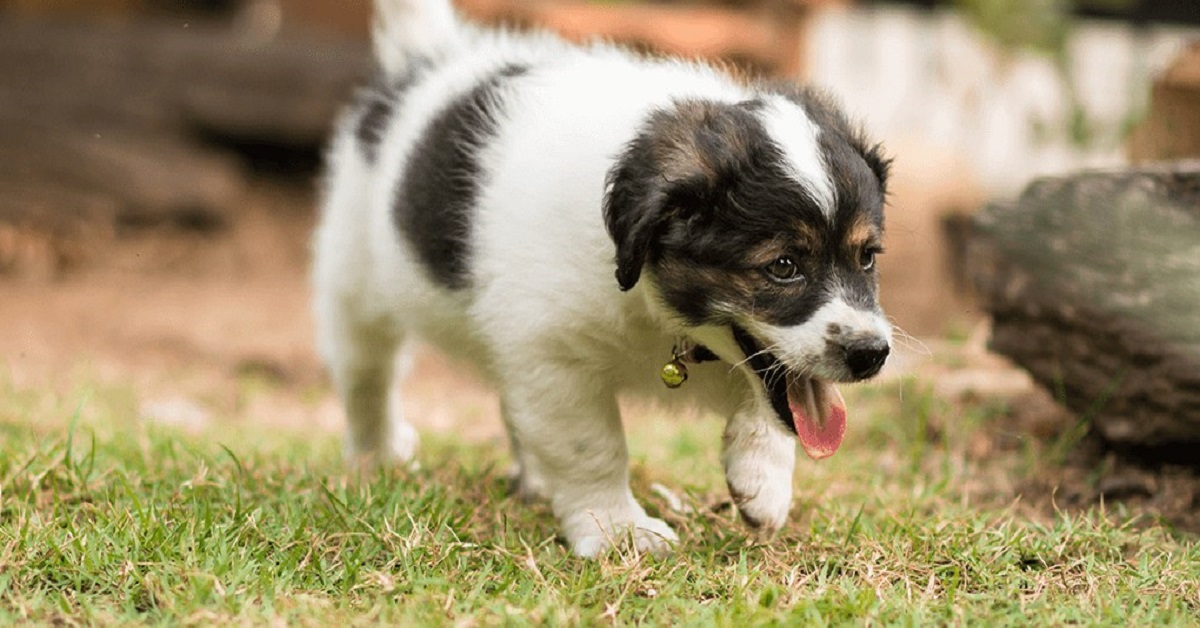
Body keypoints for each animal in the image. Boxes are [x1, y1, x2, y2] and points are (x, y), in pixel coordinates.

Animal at [314, 1, 897, 559]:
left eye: (867, 257)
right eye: (783, 267)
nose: (872, 354)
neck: (650, 300)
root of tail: (429, 58)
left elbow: (776, 397)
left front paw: (762, 478)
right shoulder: (554, 357)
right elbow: (592, 448)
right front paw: (618, 530)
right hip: (354, 283)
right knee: (367, 376)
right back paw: (377, 456)